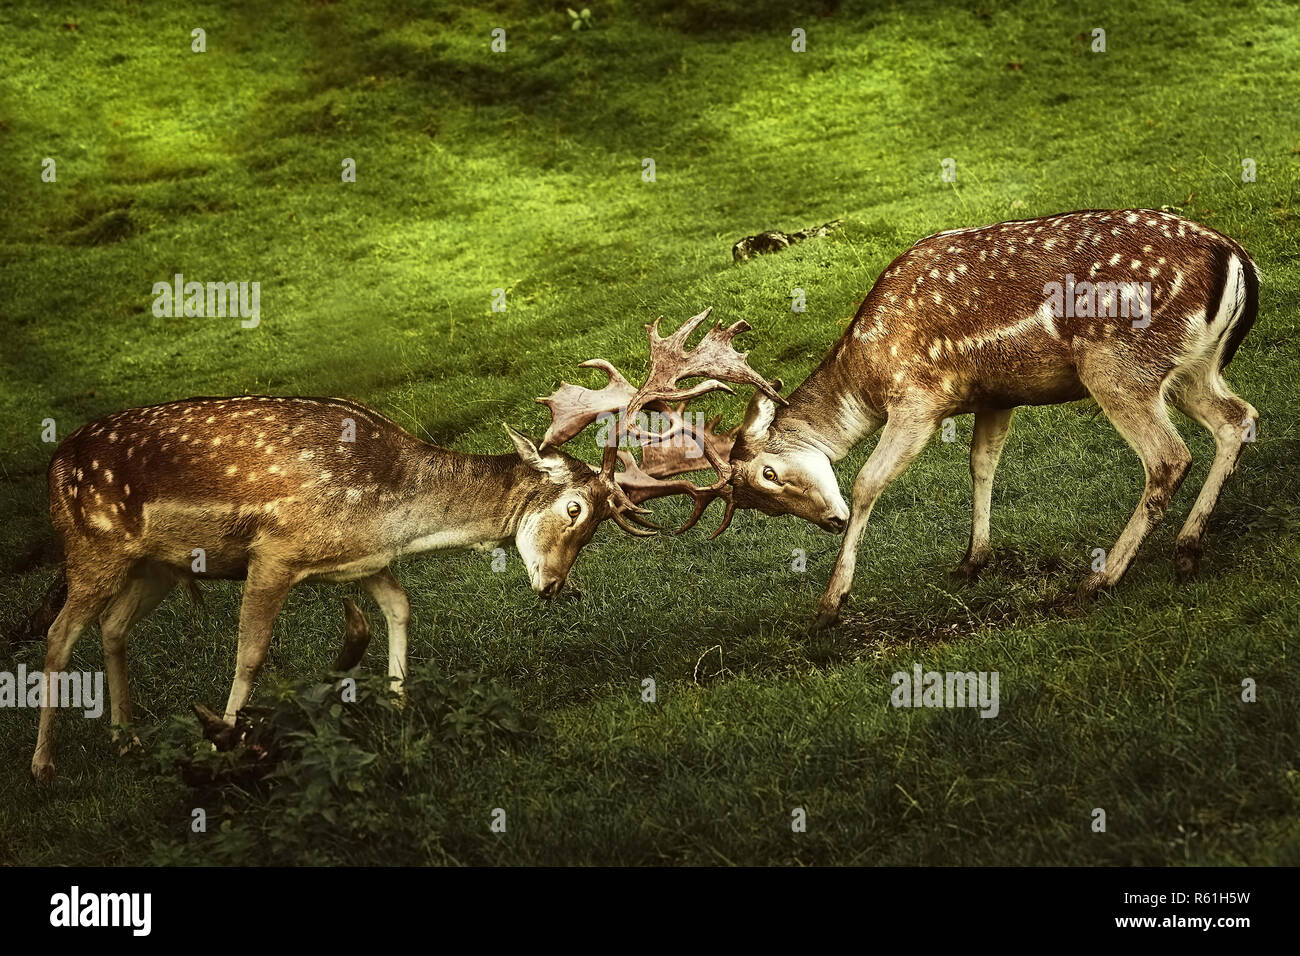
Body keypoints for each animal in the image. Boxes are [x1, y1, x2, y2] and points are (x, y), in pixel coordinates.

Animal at [32, 310, 780, 780]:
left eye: (597, 528)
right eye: (574, 509)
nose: (552, 586)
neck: (388, 509)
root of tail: (57, 461)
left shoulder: (362, 563)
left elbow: (400, 608)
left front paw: (395, 707)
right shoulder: (275, 553)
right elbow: (250, 654)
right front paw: (228, 741)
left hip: (153, 565)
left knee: (113, 628)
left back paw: (125, 739)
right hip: (92, 544)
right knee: (60, 633)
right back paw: (43, 763)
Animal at [681, 208, 1258, 629]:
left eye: (769, 474)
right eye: (765, 505)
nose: (831, 521)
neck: (867, 372)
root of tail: (1237, 262)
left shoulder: (919, 399)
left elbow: (867, 482)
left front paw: (830, 604)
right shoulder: (994, 396)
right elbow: (982, 464)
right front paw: (972, 561)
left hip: (1118, 365)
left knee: (1170, 456)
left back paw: (1100, 580)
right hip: (1193, 367)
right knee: (1239, 418)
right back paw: (1186, 550)